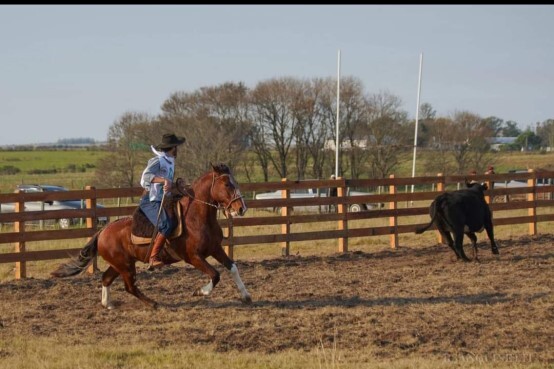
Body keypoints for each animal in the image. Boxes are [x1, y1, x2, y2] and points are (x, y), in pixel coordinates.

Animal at [51, 162, 250, 310]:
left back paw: (108, 304)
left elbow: (232, 268)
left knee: (106, 279)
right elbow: (215, 274)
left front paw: (246, 296)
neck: (196, 217)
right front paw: (200, 292)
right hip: (125, 266)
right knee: (130, 286)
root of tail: (102, 232)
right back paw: (153, 303)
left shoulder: (215, 248)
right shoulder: (193, 257)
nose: (241, 208)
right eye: (227, 184)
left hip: (120, 264)